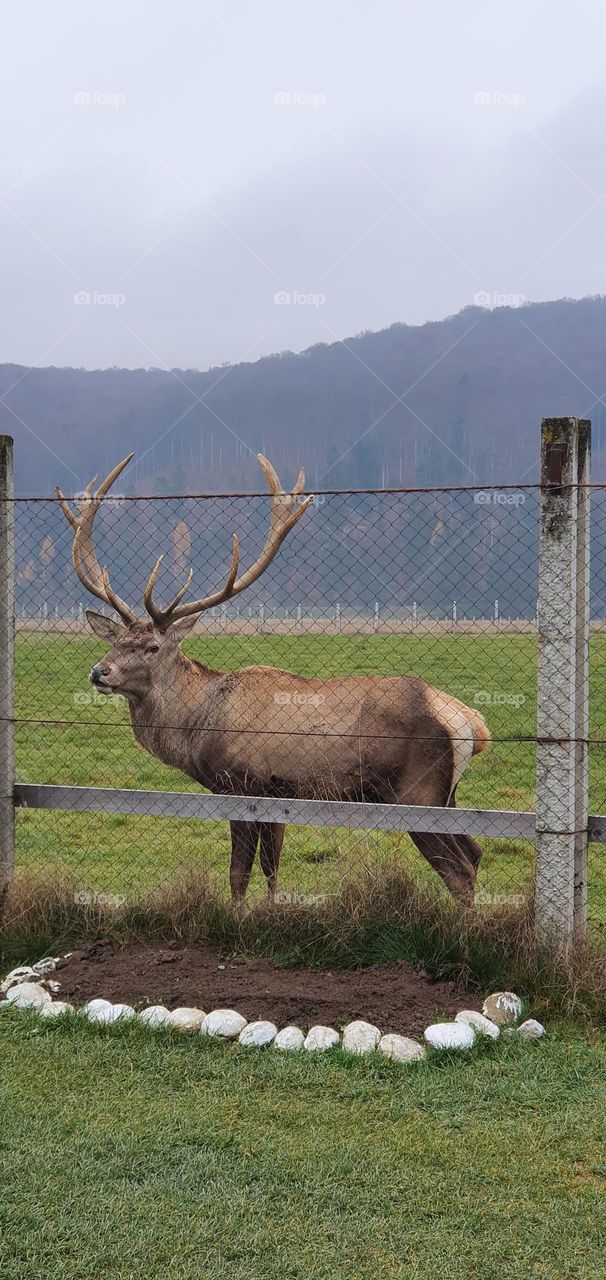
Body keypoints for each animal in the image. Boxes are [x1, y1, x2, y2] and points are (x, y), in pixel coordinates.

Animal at [56, 455, 489, 906]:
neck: (198, 725)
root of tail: (471, 723)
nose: (99, 671)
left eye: (153, 646)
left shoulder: (243, 786)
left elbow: (238, 873)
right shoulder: (281, 797)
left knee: (458, 870)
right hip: (448, 796)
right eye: (116, 641)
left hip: (418, 792)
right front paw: (271, 909)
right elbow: (272, 867)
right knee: (475, 852)